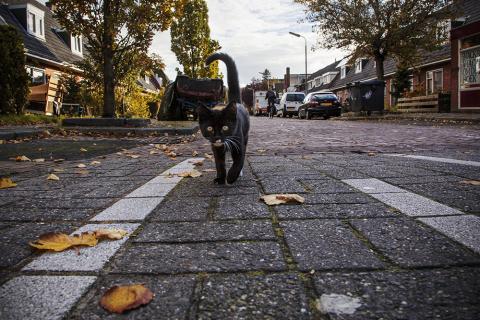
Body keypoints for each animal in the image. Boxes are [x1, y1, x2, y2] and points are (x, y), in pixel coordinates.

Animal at [197, 51, 249, 184]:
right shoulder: (216, 148)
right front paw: (220, 178)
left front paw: (231, 177)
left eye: (225, 127)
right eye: (209, 128)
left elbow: (239, 161)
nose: (217, 138)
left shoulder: (238, 141)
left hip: (245, 135)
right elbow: (219, 163)